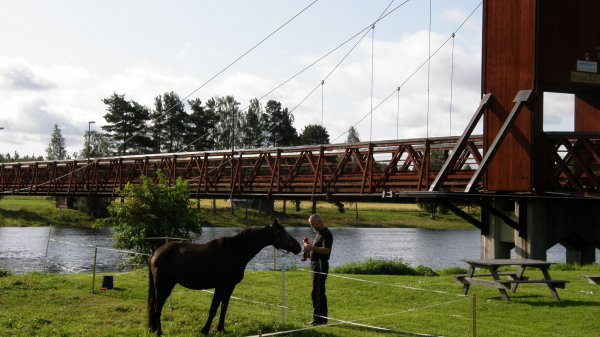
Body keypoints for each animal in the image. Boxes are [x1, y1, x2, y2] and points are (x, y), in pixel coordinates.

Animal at [148, 218, 302, 334]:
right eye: (281, 233)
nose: (298, 247)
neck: (235, 250)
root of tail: (156, 253)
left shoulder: (229, 287)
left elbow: (224, 307)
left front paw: (221, 329)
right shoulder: (221, 286)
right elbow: (213, 308)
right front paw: (205, 330)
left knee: (153, 306)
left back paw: (153, 329)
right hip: (163, 286)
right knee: (156, 307)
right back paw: (159, 332)